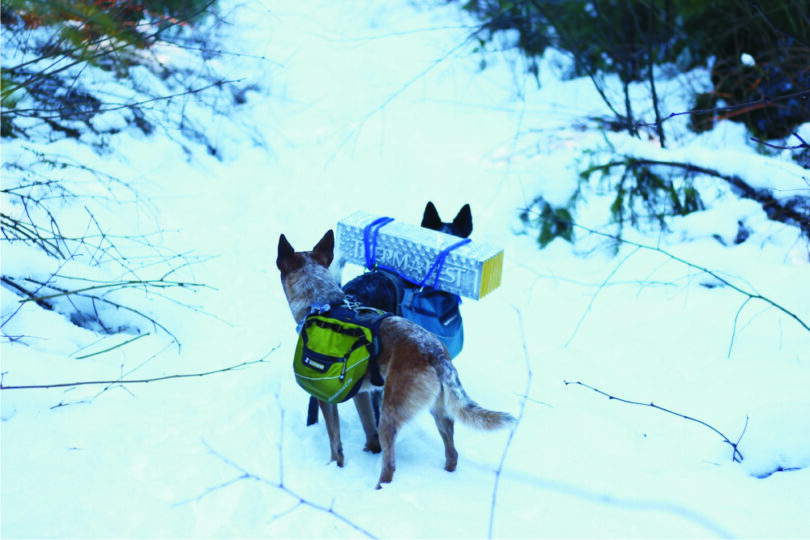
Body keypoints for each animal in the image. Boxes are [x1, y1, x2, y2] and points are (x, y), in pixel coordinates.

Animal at [278, 230, 516, 488]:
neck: (322, 302)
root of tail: (437, 355)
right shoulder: (361, 392)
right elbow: (367, 427)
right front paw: (368, 449)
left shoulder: (326, 396)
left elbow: (335, 444)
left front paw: (334, 468)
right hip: (439, 410)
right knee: (452, 453)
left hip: (391, 412)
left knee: (390, 465)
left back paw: (379, 490)